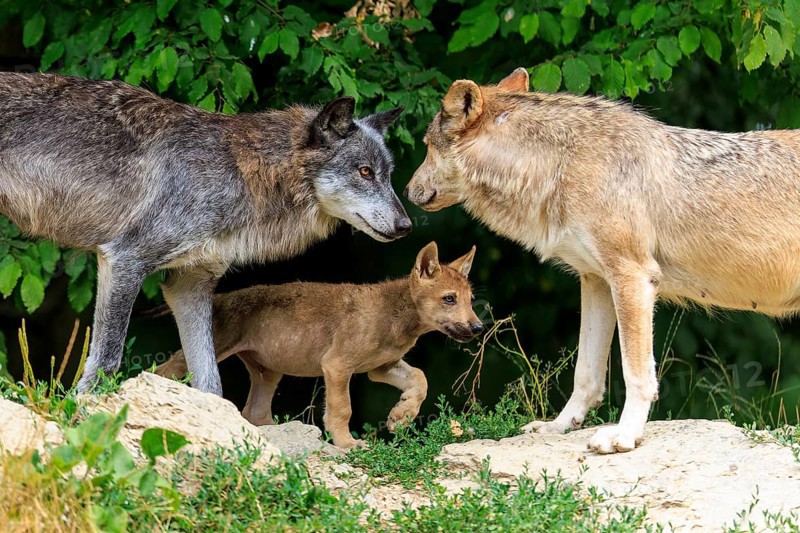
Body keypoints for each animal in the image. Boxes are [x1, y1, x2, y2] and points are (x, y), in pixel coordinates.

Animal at [0, 72, 411, 395]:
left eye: (388, 175)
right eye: (364, 172)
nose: (407, 226)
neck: (243, 172)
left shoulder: (189, 285)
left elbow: (211, 382)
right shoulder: (124, 261)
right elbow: (107, 361)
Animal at [153, 242, 484, 448]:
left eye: (471, 300)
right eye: (449, 299)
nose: (478, 327)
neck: (397, 319)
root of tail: (219, 297)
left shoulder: (381, 367)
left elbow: (420, 379)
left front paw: (401, 416)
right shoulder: (337, 365)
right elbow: (342, 409)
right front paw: (348, 444)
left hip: (268, 373)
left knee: (254, 413)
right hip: (206, 354)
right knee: (160, 371)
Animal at [405, 66, 800, 454]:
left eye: (427, 147)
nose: (406, 192)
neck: (559, 165)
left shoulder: (632, 278)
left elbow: (636, 373)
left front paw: (624, 436)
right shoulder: (595, 281)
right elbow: (586, 374)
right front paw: (558, 426)